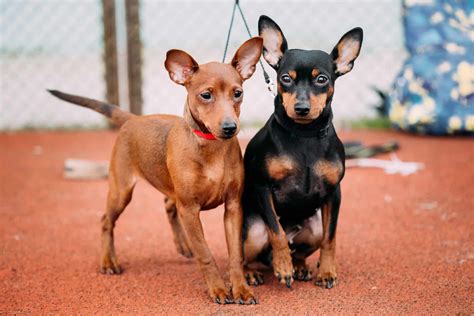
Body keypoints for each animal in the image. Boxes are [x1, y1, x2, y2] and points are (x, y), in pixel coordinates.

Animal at [49, 36, 262, 304]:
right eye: (205, 95)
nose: (230, 127)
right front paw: (218, 289)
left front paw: (241, 288)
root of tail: (132, 118)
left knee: (168, 206)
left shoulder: (233, 206)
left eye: (238, 93)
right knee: (106, 220)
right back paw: (108, 261)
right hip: (121, 191)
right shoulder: (189, 208)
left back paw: (184, 245)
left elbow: (235, 255)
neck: (210, 146)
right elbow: (206, 255)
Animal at [243, 16, 364, 288]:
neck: (304, 134)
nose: (301, 108)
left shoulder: (334, 193)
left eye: (322, 80)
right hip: (253, 233)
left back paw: (299, 266)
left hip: (314, 227)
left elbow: (331, 237)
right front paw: (283, 267)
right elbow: (276, 232)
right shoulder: (263, 187)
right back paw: (253, 272)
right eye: (286, 78)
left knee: (301, 249)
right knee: (249, 254)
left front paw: (327, 271)